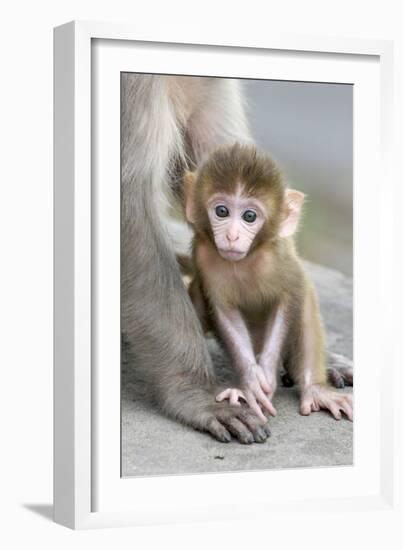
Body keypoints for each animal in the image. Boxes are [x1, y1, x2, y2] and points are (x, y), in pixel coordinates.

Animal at [183, 144, 354, 424]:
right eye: (222, 211)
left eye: (250, 216)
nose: (232, 235)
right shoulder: (205, 257)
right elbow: (224, 311)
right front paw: (251, 384)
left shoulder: (279, 258)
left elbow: (291, 297)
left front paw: (267, 374)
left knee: (305, 303)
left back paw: (315, 389)